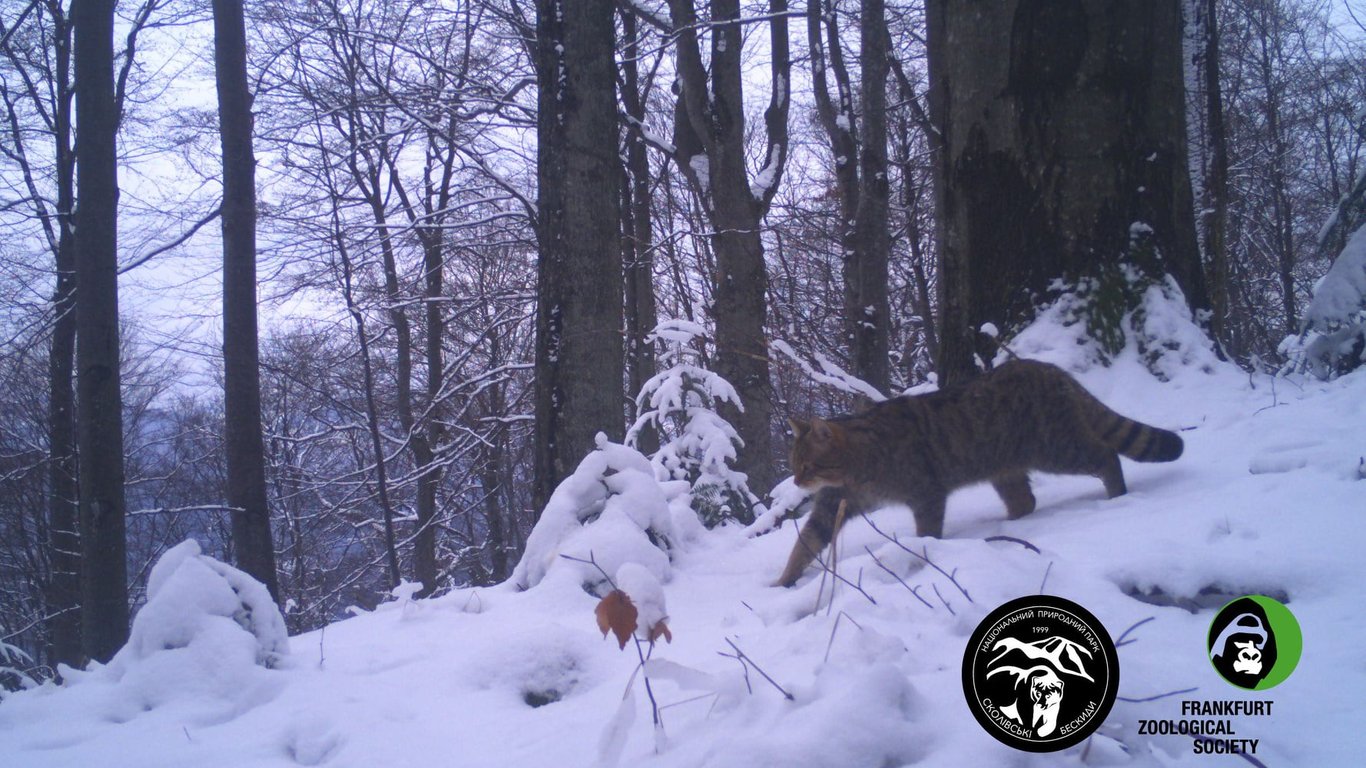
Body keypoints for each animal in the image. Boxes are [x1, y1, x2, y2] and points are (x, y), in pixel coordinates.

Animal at [781, 358, 1185, 584]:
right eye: (794, 466)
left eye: (808, 466)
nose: (798, 481)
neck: (857, 466)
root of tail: (1049, 369)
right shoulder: (833, 505)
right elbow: (804, 545)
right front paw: (784, 581)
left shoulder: (926, 493)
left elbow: (927, 533)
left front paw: (923, 554)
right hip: (1006, 468)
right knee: (1026, 501)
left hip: (1058, 446)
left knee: (1106, 455)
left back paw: (1116, 494)